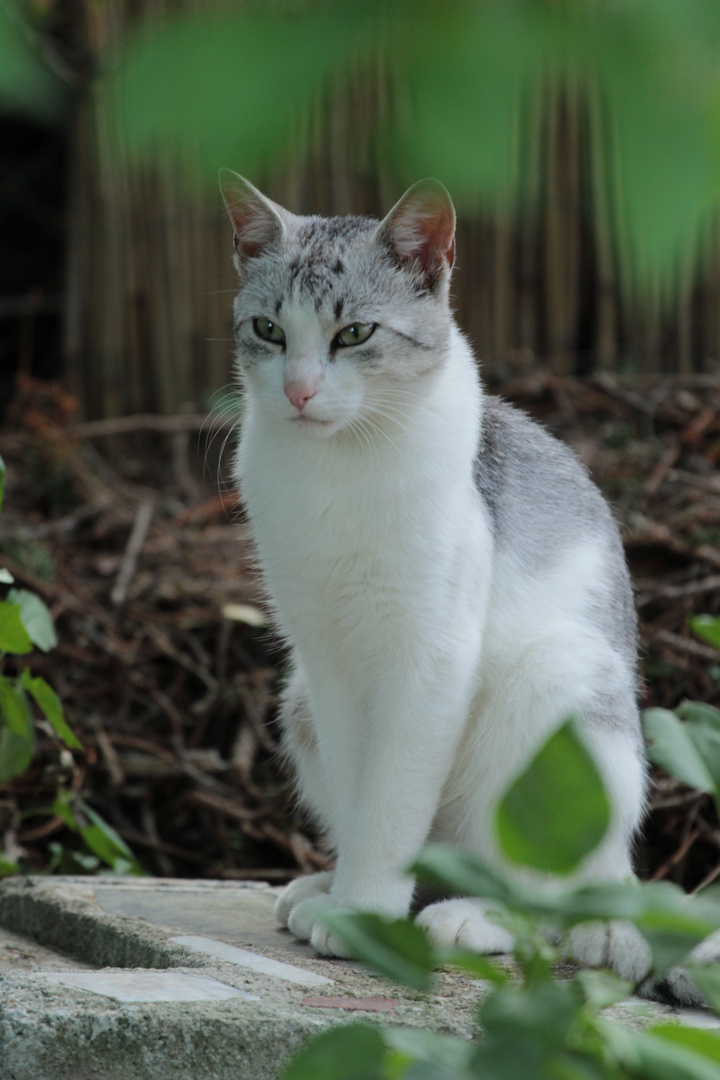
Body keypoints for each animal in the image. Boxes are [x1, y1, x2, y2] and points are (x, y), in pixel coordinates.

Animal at [220, 170, 699, 1002]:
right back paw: (332, 888)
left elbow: (392, 798)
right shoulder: (329, 661)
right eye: (270, 331)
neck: (333, 472)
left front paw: (364, 916)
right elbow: (363, 793)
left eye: (355, 334)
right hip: (299, 700)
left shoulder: (429, 658)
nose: (301, 392)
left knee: (547, 905)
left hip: (556, 681)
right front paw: (352, 895)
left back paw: (471, 916)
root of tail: (621, 880)